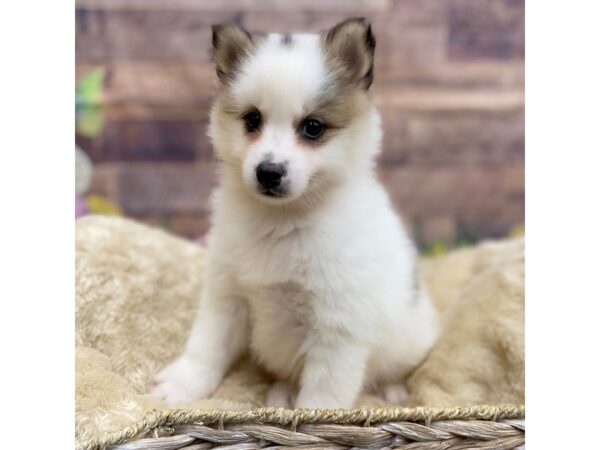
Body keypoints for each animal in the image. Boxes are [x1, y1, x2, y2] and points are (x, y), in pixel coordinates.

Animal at [152, 19, 438, 410]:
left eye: (313, 127)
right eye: (252, 119)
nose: (268, 172)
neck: (284, 220)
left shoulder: (337, 327)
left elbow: (323, 395)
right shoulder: (227, 295)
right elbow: (207, 347)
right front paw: (183, 384)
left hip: (410, 339)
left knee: (398, 368)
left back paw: (392, 391)